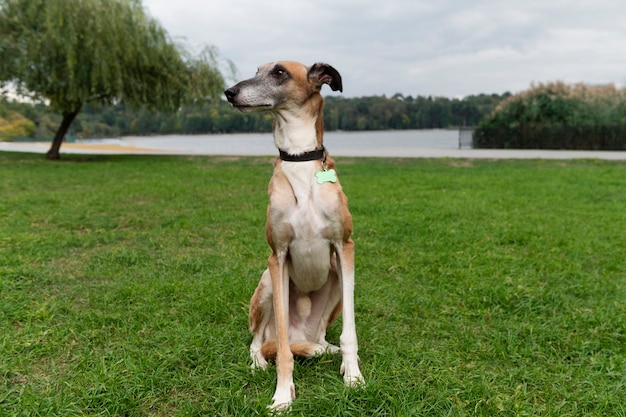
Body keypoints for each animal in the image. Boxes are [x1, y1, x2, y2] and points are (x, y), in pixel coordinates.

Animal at [223, 61, 360, 410]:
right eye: (257, 69)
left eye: (279, 72)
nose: (229, 92)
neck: (299, 158)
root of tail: (304, 336)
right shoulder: (278, 255)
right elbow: (282, 350)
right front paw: (283, 394)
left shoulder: (345, 247)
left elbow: (349, 332)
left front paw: (354, 376)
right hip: (268, 283)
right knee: (260, 341)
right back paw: (260, 361)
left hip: (336, 282)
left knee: (322, 338)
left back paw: (328, 351)